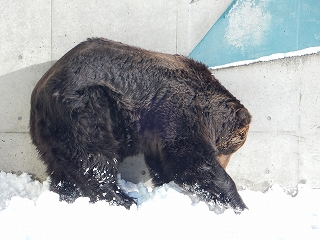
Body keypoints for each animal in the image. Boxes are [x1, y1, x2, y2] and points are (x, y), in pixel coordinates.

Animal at [29, 38, 250, 213]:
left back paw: (66, 196)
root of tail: (39, 93)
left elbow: (165, 164)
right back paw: (124, 200)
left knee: (62, 168)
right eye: (229, 150)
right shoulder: (181, 114)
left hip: (52, 133)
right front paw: (239, 204)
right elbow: (192, 160)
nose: (224, 163)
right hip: (87, 107)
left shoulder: (160, 129)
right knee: (95, 158)